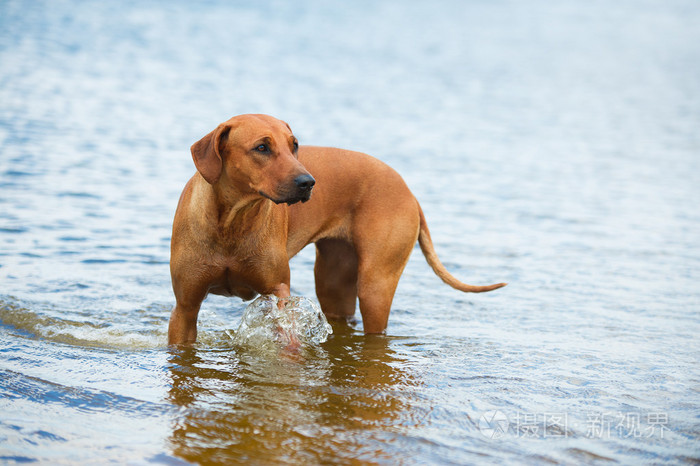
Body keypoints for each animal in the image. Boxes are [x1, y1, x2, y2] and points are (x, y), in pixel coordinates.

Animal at [171, 114, 508, 344]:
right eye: (262, 147)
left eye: (294, 146)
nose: (308, 182)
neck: (232, 223)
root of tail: (409, 191)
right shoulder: (185, 308)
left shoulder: (279, 295)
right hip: (334, 279)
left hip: (376, 285)